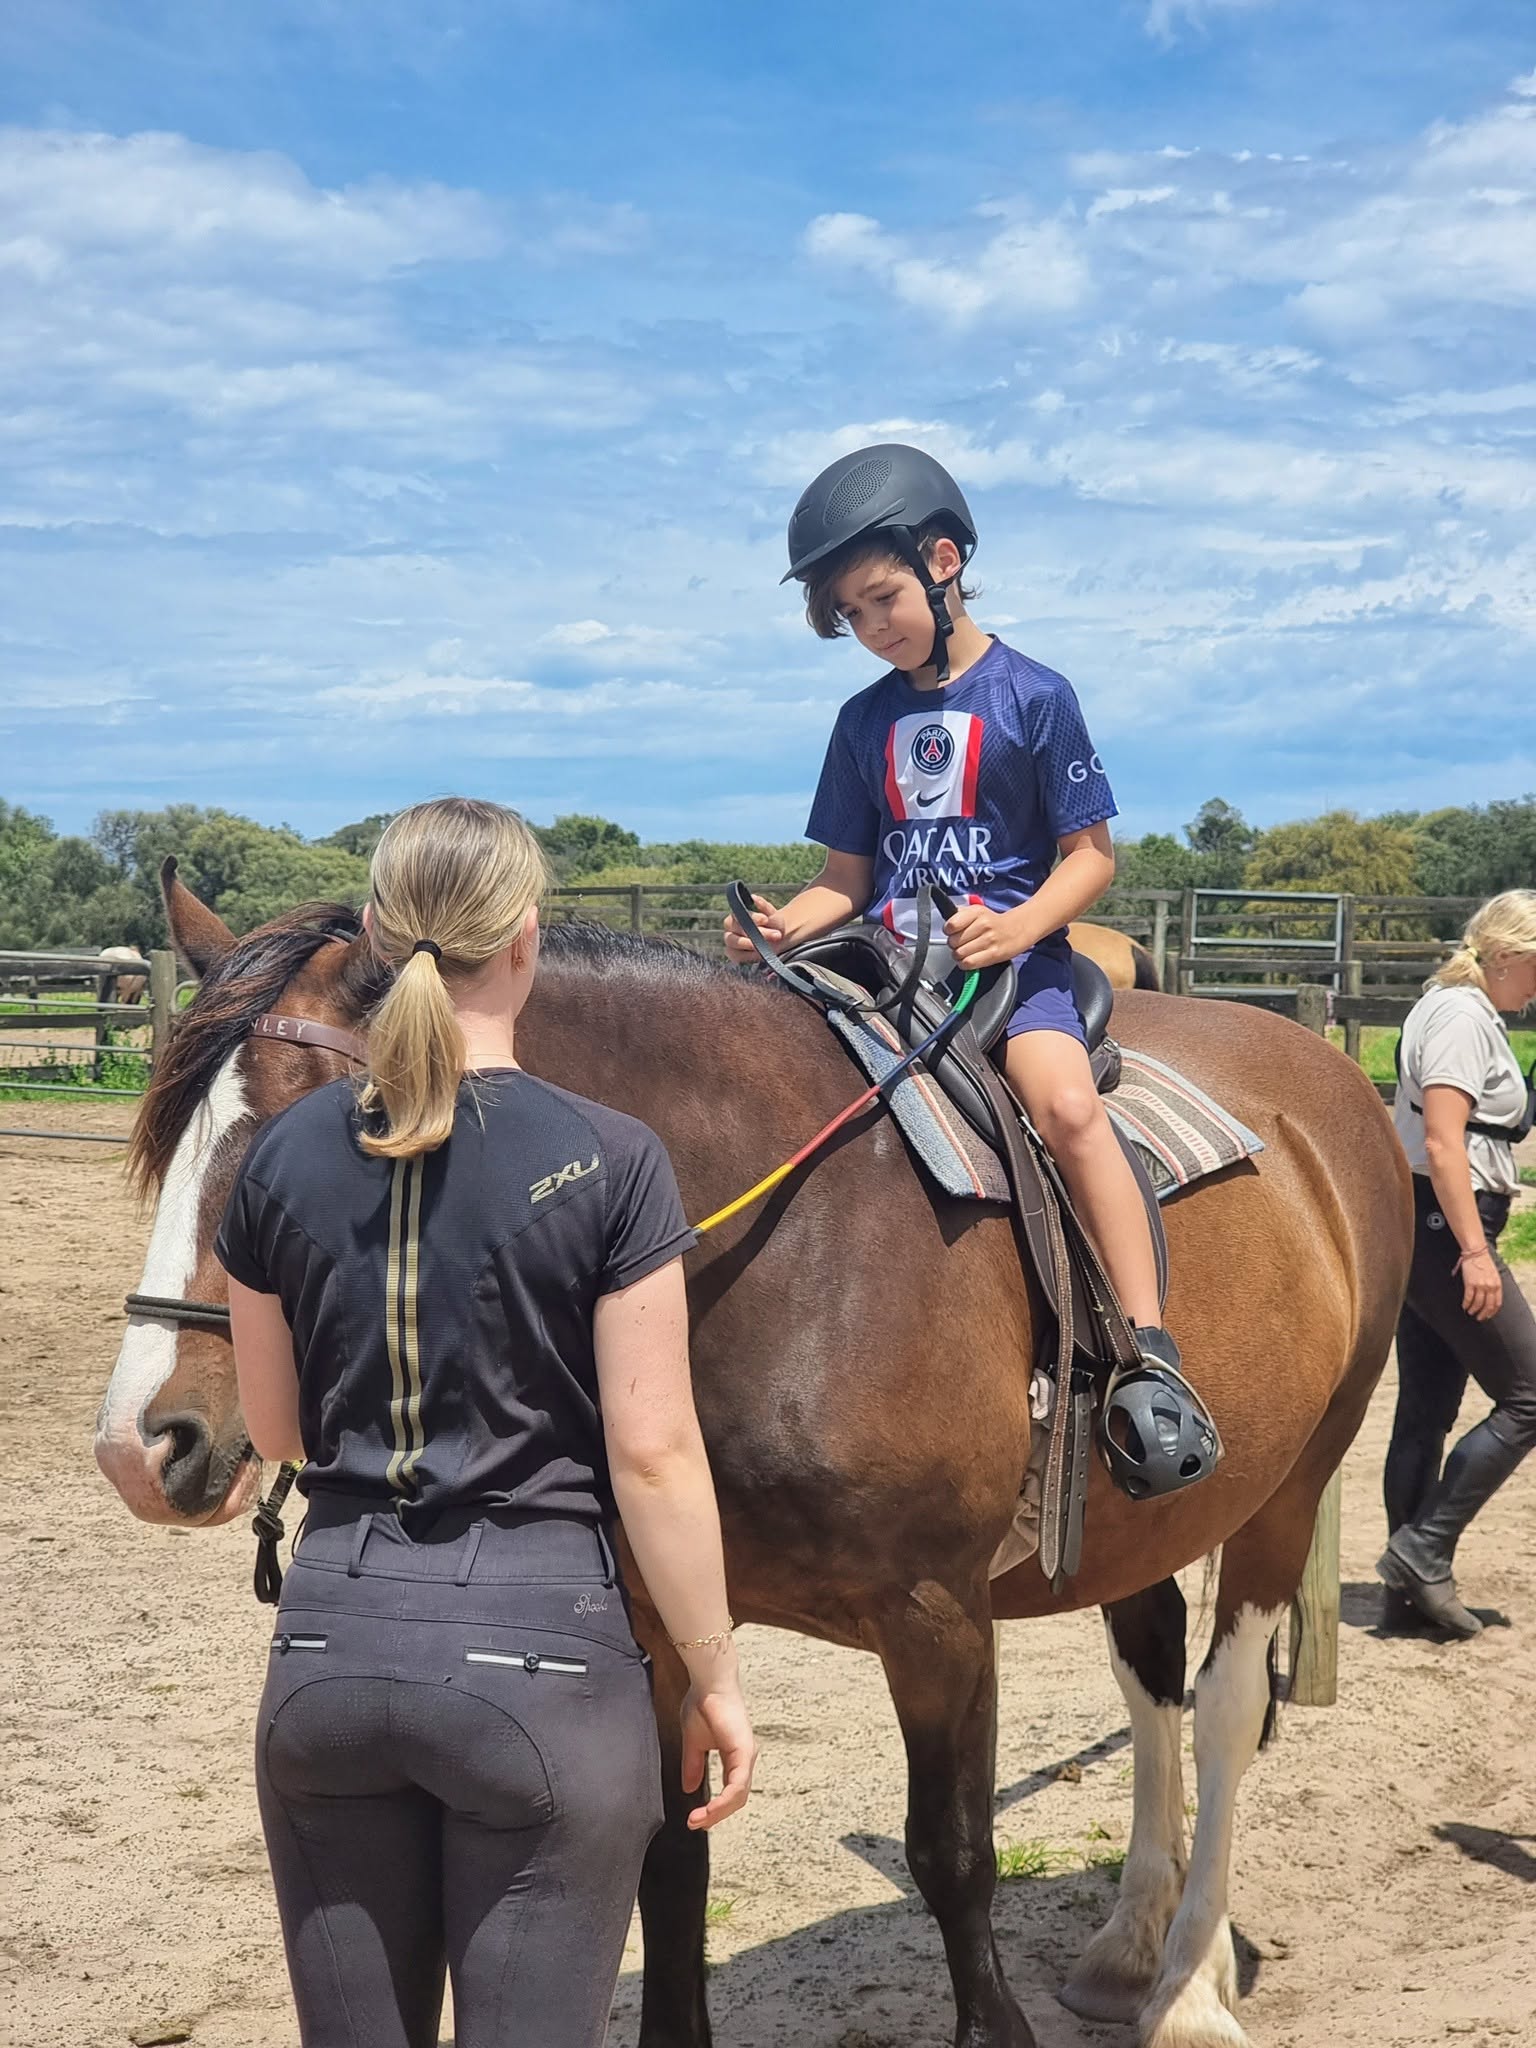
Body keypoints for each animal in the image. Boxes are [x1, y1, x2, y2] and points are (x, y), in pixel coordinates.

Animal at [96, 862, 1412, 2048]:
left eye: (315, 1147)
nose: (139, 1440)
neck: (783, 1248)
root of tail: (1325, 1071)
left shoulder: (940, 1613)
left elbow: (955, 1853)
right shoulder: (660, 1614)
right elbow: (669, 1857)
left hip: (1292, 1484)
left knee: (1224, 1707)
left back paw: (1188, 1987)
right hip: (1138, 1523)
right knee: (1151, 1676)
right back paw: (1131, 1946)